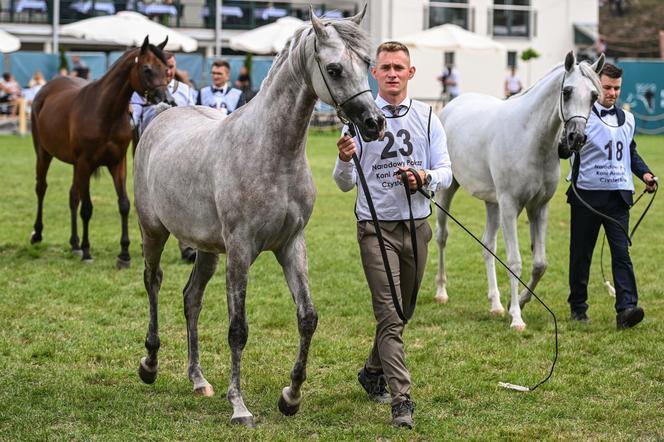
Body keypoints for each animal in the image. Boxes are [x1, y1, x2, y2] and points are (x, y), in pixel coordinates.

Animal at [30, 36, 171, 268]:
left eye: (167, 69)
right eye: (147, 69)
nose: (165, 98)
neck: (105, 112)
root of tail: (45, 89)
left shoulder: (117, 163)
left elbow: (124, 204)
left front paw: (124, 254)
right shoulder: (85, 163)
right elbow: (87, 208)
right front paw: (88, 251)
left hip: (75, 166)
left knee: (73, 196)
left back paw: (74, 244)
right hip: (44, 154)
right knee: (41, 188)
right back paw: (38, 234)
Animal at [134, 6, 384, 428]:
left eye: (367, 63)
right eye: (334, 69)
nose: (374, 123)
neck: (271, 151)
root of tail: (163, 115)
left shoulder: (291, 245)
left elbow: (307, 318)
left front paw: (291, 397)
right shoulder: (240, 250)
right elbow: (238, 329)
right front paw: (239, 406)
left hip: (207, 249)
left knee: (191, 298)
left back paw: (198, 380)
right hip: (154, 231)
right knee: (153, 282)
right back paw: (149, 365)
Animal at [434, 51, 604, 330]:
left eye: (594, 96)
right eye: (567, 91)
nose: (576, 139)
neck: (530, 138)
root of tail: (449, 107)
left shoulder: (539, 208)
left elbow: (540, 264)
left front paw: (522, 301)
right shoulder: (511, 206)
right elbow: (515, 262)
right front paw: (516, 317)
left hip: (492, 204)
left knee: (488, 246)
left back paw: (495, 304)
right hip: (448, 193)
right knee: (442, 237)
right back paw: (441, 292)